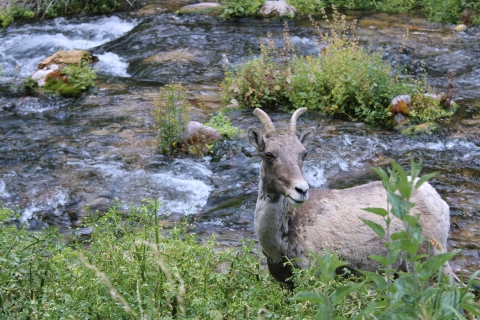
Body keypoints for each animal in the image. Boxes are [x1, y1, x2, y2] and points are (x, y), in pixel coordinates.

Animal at [249, 108, 456, 284]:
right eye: (268, 154)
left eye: (304, 153)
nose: (301, 190)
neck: (281, 242)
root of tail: (436, 198)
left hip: (432, 254)